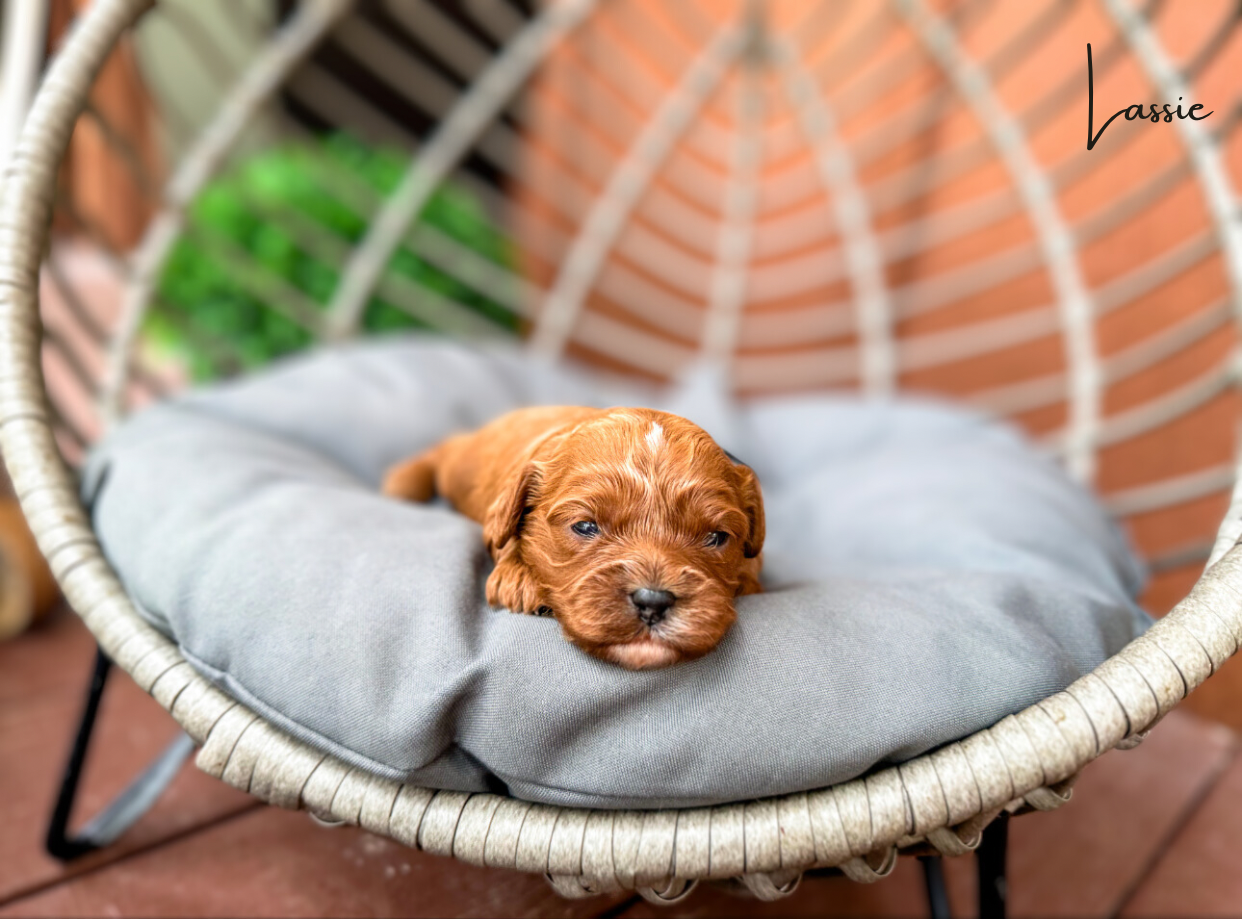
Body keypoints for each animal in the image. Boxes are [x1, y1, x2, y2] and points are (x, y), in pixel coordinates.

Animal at [382, 407, 760, 665]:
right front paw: (518, 578)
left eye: (715, 537)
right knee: (446, 447)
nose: (653, 601)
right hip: (462, 465)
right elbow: (501, 536)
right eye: (586, 527)